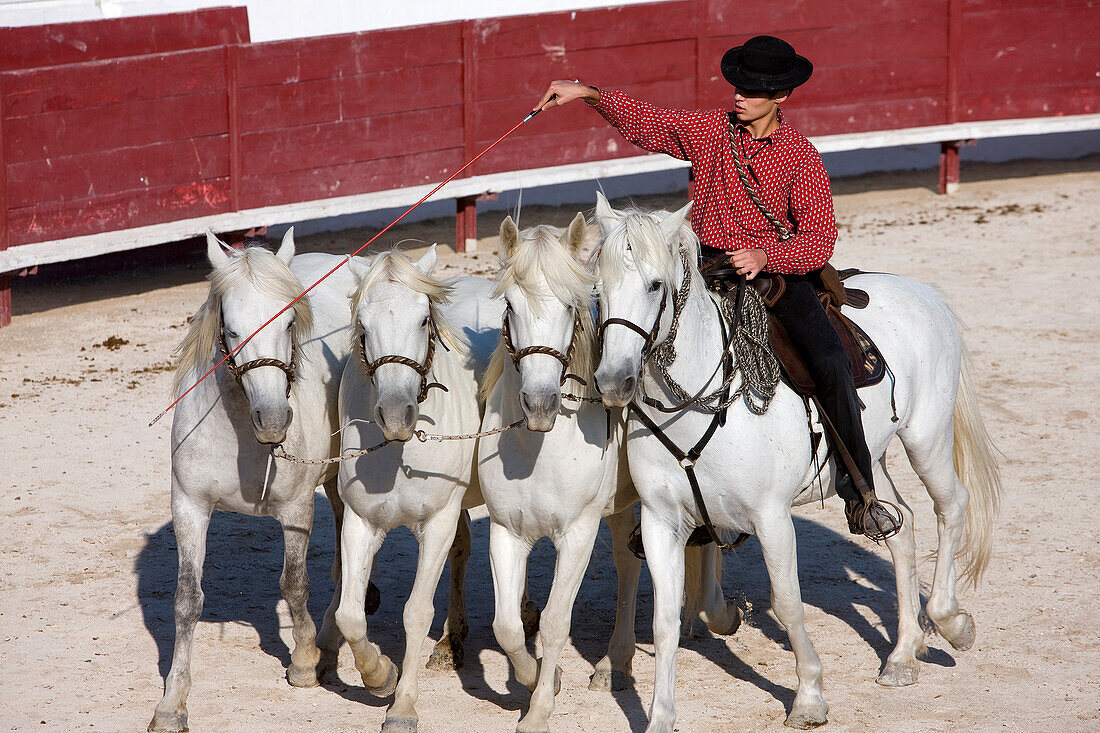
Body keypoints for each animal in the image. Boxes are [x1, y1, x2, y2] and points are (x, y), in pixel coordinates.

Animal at [151, 230, 365, 730]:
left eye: (288, 323)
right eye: (230, 329)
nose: (273, 419)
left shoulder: (296, 511)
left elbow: (294, 584)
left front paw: (303, 661)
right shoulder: (189, 506)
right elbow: (187, 599)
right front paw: (174, 699)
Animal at [330, 246, 486, 730]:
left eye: (423, 321)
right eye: (364, 326)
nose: (397, 414)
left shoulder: (436, 523)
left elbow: (416, 612)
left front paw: (402, 706)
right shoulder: (360, 522)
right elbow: (350, 614)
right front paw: (380, 675)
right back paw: (452, 643)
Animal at [479, 214, 743, 726]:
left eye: (570, 306)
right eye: (510, 304)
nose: (539, 403)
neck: (536, 449)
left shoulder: (577, 534)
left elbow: (554, 621)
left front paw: (539, 710)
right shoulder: (506, 531)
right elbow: (507, 627)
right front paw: (538, 679)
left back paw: (712, 613)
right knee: (628, 564)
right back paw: (615, 662)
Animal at [594, 193, 1007, 730]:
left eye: (654, 285)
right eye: (597, 286)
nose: (613, 381)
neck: (702, 402)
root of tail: (923, 291)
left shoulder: (771, 517)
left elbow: (787, 603)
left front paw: (809, 695)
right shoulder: (661, 522)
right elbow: (665, 621)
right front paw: (661, 717)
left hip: (926, 438)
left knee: (951, 505)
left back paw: (952, 623)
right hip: (868, 460)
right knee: (902, 525)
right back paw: (902, 654)